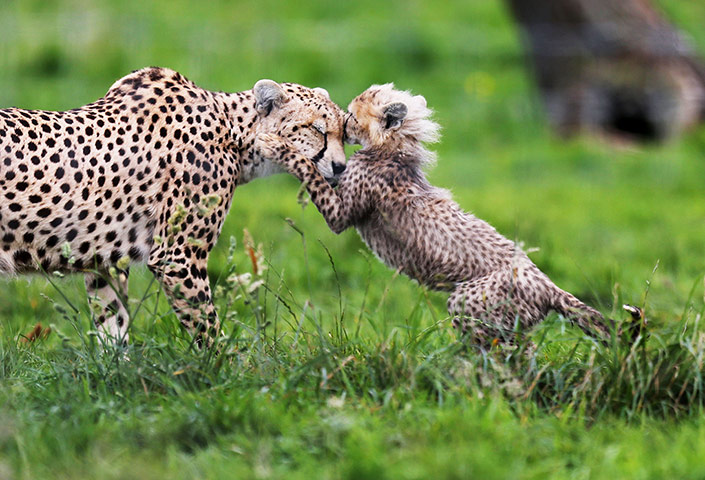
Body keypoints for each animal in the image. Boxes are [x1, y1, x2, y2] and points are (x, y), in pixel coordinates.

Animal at [0, 66, 347, 348]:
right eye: (316, 129)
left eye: (343, 131)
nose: (342, 167)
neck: (234, 133)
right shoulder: (177, 256)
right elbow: (207, 327)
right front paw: (224, 373)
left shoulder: (105, 261)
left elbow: (113, 327)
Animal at [255, 83, 643, 348]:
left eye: (350, 115)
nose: (343, 121)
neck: (394, 150)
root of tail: (547, 283)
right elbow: (321, 172)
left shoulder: (341, 213)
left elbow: (310, 171)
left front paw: (276, 145)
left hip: (470, 301)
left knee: (513, 348)